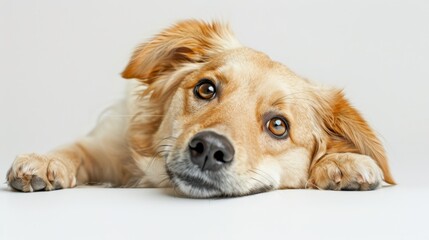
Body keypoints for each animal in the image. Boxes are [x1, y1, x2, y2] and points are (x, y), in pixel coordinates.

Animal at [6, 19, 394, 197]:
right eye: (206, 88)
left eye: (278, 125)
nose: (208, 148)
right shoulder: (107, 144)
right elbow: (76, 149)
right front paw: (46, 161)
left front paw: (342, 160)